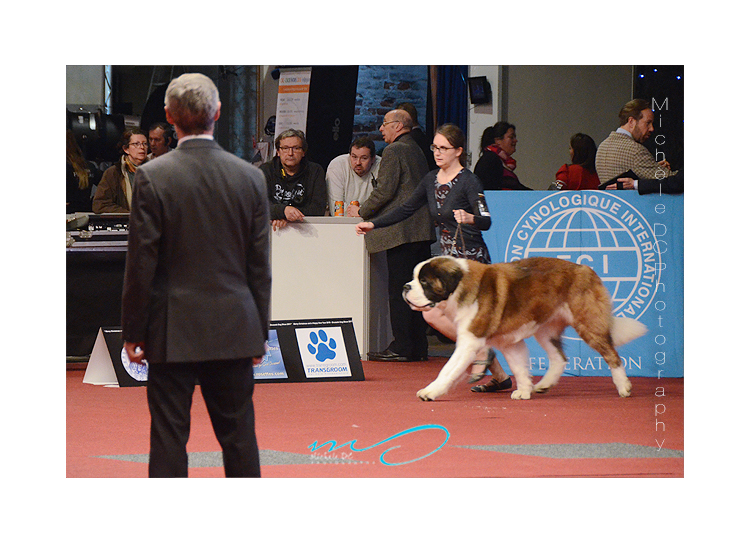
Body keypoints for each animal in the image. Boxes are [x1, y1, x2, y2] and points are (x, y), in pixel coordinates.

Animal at [402, 258, 648, 402]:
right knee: (559, 359)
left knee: (612, 354)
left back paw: (624, 386)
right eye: (414, 279)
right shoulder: (508, 342)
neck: (459, 286)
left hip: (588, 324)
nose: (405, 287)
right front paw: (524, 390)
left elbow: (447, 369)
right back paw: (544, 385)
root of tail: (586, 269)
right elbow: (519, 367)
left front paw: (430, 391)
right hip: (546, 330)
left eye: (424, 282)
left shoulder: (469, 341)